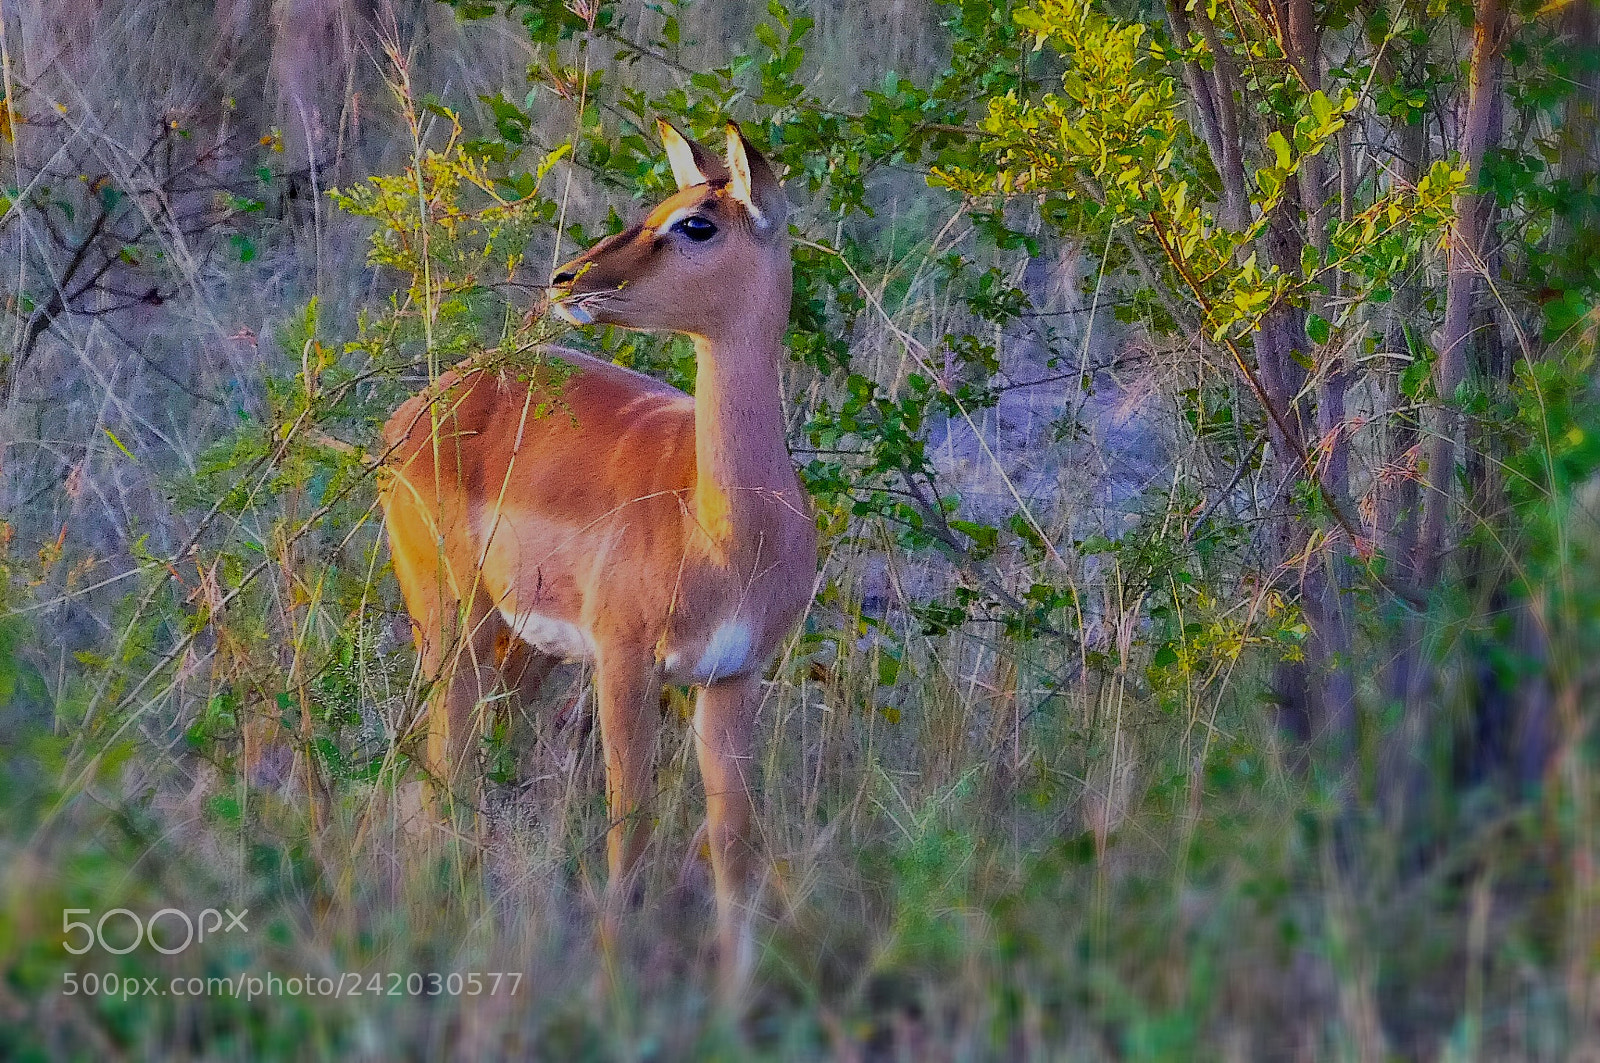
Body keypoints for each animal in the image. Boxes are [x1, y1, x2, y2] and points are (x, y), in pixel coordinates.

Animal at [379, 120, 817, 983]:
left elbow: (734, 843)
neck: (726, 528)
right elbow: (631, 826)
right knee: (447, 766)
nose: (568, 278)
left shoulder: (733, 677)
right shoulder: (624, 662)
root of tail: (421, 407)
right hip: (454, 628)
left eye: (696, 223)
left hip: (521, 650)